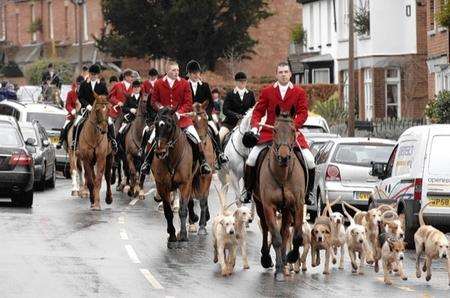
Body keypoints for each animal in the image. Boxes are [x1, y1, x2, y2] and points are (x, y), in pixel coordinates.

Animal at [152, 108, 194, 248]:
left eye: (169, 126)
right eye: (155, 124)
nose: (160, 152)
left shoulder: (185, 184)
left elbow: (183, 210)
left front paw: (184, 236)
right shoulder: (162, 186)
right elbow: (168, 212)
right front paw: (172, 235)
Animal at [253, 105, 306, 282]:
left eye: (293, 130)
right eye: (274, 130)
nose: (283, 157)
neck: (282, 175)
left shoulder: (297, 204)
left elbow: (296, 236)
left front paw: (291, 257)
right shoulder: (268, 206)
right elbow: (275, 238)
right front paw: (279, 270)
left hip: (287, 208)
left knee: (285, 232)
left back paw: (283, 259)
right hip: (259, 204)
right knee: (266, 228)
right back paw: (267, 259)